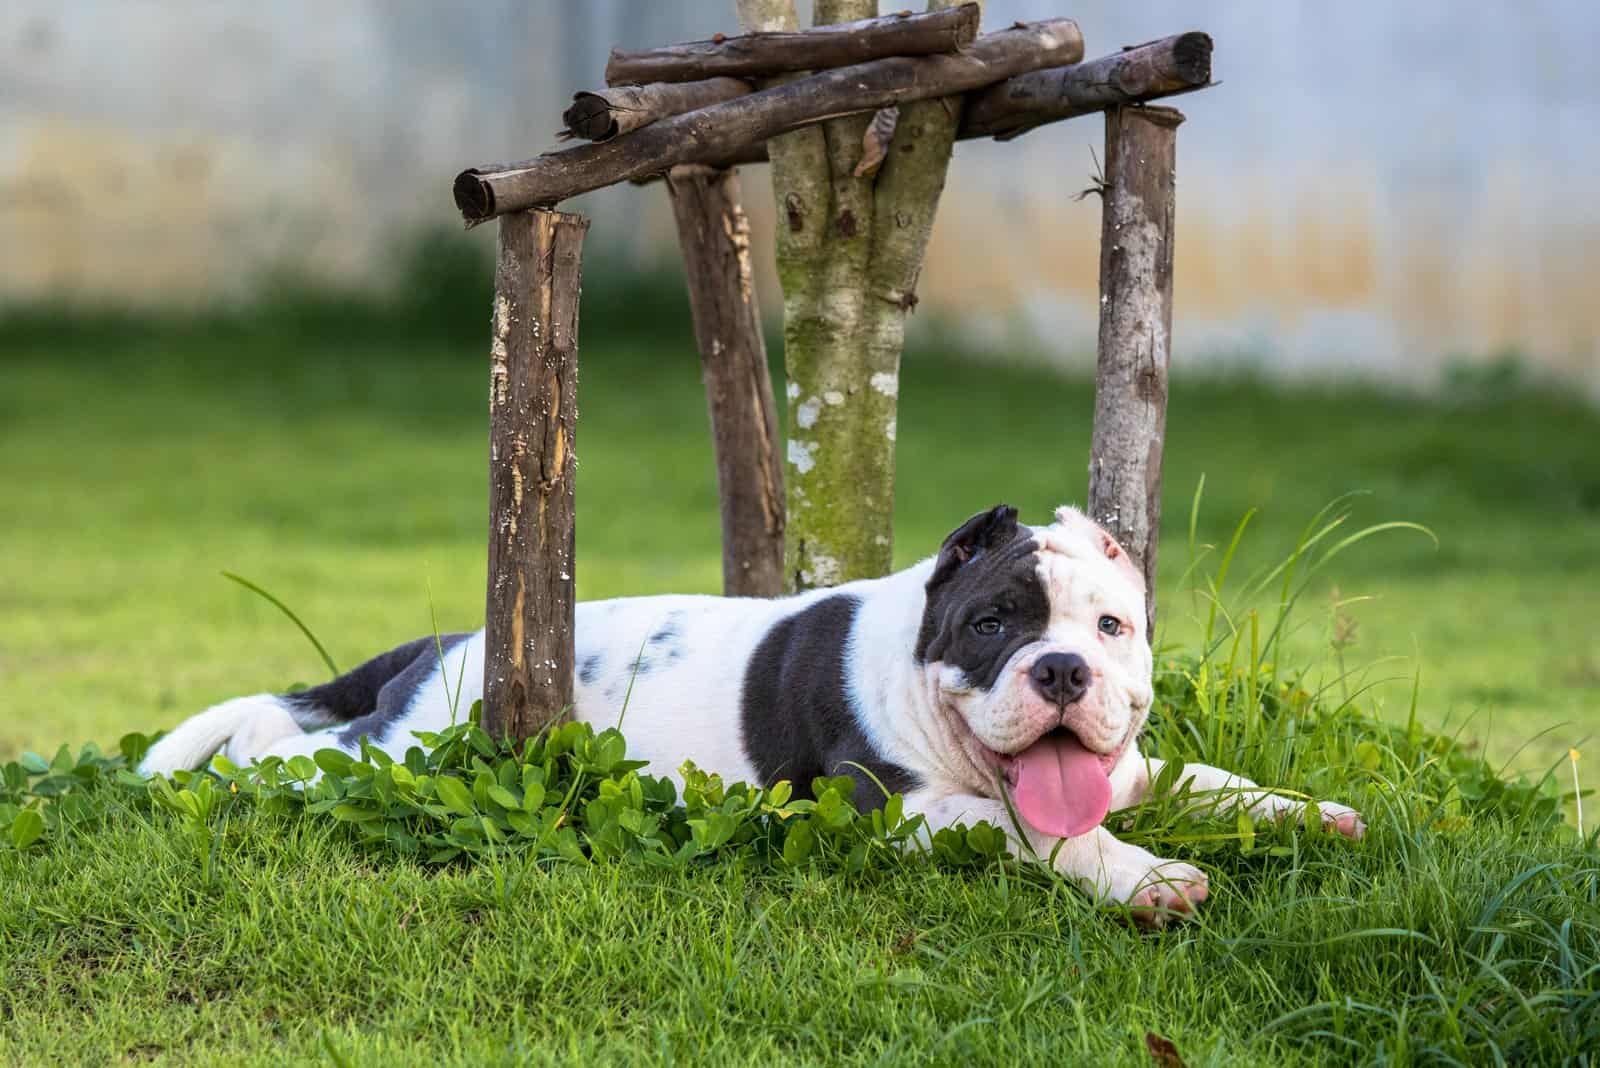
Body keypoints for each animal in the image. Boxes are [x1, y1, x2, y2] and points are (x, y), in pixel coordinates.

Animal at [140, 505, 1363, 920]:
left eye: (1109, 628)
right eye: (990, 625)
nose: (1061, 671)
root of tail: (449, 645)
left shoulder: (1130, 766)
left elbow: (1207, 779)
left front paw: (1308, 811)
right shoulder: (898, 812)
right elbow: (1043, 835)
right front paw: (1148, 878)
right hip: (405, 751)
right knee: (288, 741)